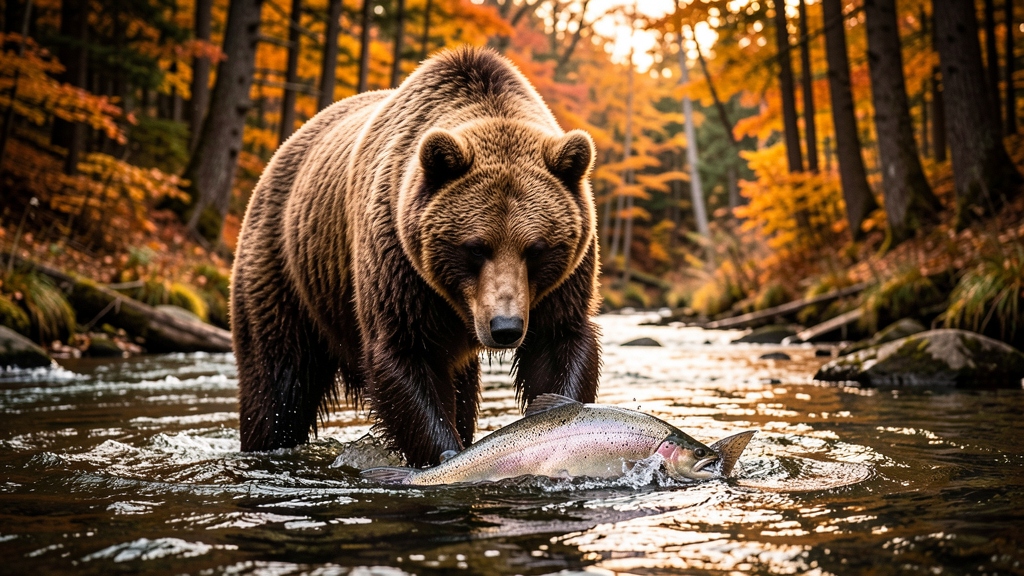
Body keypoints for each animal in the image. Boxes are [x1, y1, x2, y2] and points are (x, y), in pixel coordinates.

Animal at [231, 46, 602, 467]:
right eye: (476, 247)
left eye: (536, 248)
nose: (505, 327)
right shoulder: (400, 264)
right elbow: (405, 355)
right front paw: (443, 453)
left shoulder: (563, 284)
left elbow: (557, 344)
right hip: (286, 270)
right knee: (277, 383)